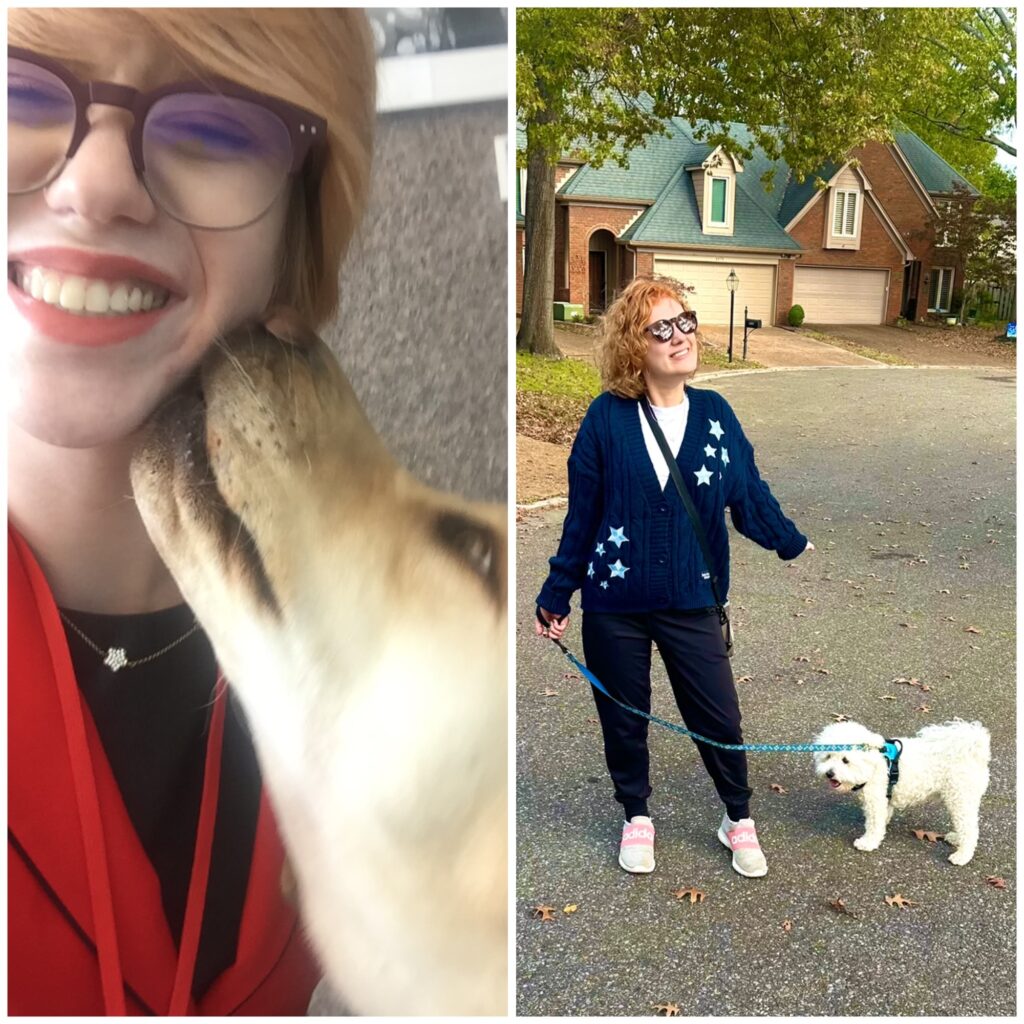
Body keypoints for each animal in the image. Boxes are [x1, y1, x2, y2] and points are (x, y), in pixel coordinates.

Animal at [811, 720, 987, 864]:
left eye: (845, 760)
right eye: (828, 756)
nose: (829, 773)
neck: (874, 763)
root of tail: (974, 752)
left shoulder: (875, 800)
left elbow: (874, 824)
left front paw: (868, 842)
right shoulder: (884, 798)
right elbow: (883, 817)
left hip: (960, 798)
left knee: (970, 830)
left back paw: (962, 856)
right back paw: (956, 838)